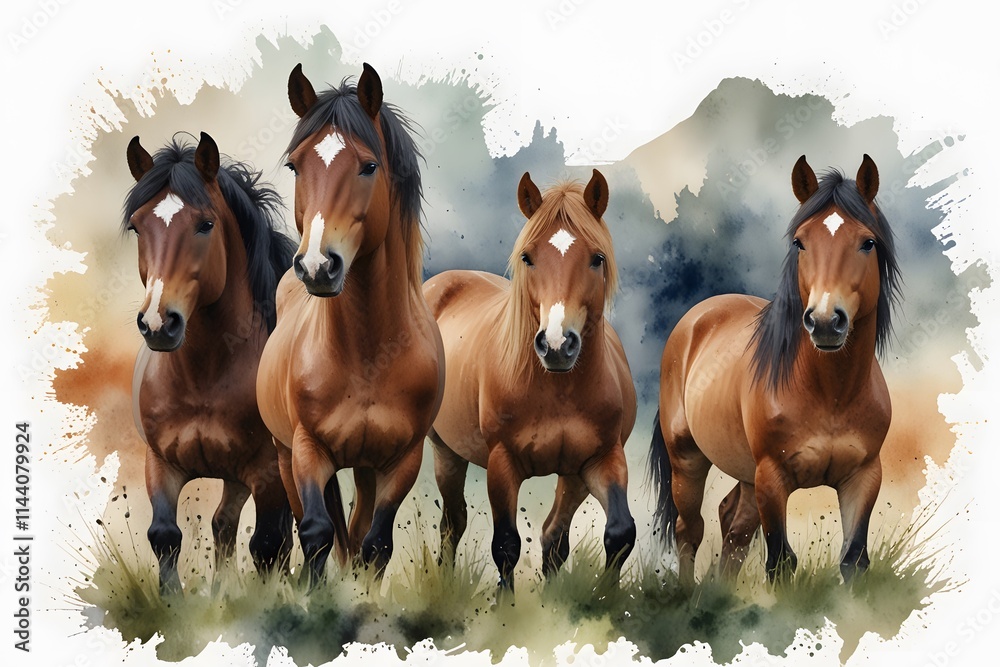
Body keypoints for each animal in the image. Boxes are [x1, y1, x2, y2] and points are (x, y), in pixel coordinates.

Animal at [123, 132, 297, 592]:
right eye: (137, 226)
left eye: (205, 224)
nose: (158, 323)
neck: (205, 377)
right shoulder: (160, 463)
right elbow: (165, 536)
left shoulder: (269, 472)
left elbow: (268, 545)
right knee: (223, 524)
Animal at [255, 63, 444, 584]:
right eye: (296, 166)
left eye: (368, 166)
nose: (318, 266)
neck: (367, 353)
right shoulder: (307, 450)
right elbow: (317, 532)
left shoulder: (402, 460)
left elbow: (375, 544)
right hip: (284, 455)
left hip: (365, 466)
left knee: (359, 532)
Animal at [423, 170, 637, 593]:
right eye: (528, 257)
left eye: (597, 258)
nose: (556, 345)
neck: (557, 389)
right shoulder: (502, 463)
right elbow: (505, 544)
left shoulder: (601, 459)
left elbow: (620, 532)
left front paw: (606, 597)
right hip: (446, 451)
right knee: (453, 524)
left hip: (572, 476)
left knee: (554, 535)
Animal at [648, 155, 901, 585]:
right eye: (800, 241)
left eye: (867, 242)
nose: (825, 321)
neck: (830, 392)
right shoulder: (772, 477)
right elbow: (780, 562)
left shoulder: (864, 477)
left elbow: (853, 560)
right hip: (689, 459)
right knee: (690, 530)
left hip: (746, 473)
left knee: (732, 525)